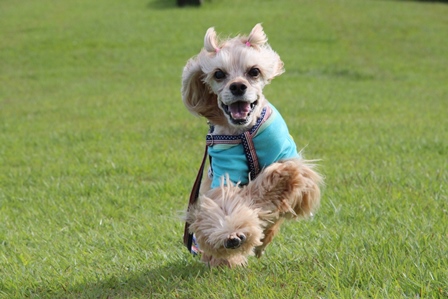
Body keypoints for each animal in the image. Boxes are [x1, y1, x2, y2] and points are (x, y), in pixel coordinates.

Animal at [181, 23, 322, 268]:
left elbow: (289, 175)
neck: (244, 132)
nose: (238, 86)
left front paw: (277, 180)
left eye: (254, 71)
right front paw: (233, 233)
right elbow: (227, 201)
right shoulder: (223, 173)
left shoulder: (294, 165)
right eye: (219, 74)